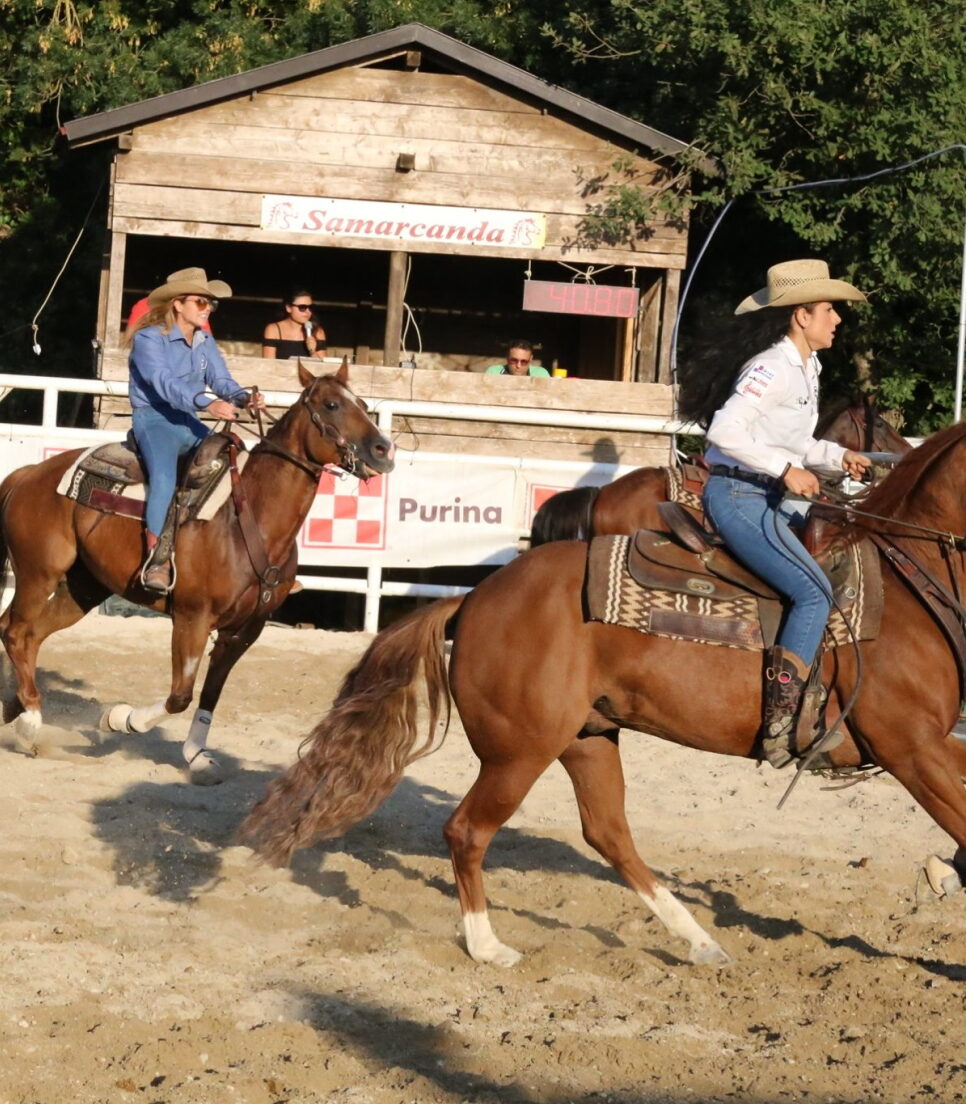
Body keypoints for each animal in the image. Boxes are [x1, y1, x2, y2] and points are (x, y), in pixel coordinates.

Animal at [0, 360, 394, 784]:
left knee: (31, 636)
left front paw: (197, 754)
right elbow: (180, 695)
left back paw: (15, 707)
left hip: (84, 588)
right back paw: (30, 723)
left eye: (363, 404)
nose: (384, 450)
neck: (249, 518)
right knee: (16, 630)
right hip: (39, 573)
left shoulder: (245, 630)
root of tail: (28, 474)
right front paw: (121, 719)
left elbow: (210, 694)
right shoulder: (192, 618)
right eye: (332, 404)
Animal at [240, 422, 966, 967]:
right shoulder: (913, 750)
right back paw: (488, 946)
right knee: (469, 830)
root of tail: (474, 599)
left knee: (608, 833)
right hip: (520, 751)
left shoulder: (928, 749)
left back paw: (698, 940)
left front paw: (944, 873)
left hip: (587, 736)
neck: (909, 589)